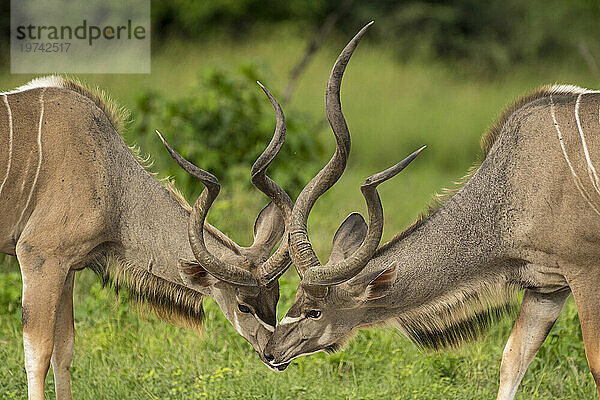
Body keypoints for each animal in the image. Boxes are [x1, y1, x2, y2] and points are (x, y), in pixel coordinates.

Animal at [0, 76, 292, 400]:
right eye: (243, 306)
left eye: (276, 297)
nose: (276, 357)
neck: (111, 178)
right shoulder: (39, 256)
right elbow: (38, 355)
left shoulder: (65, 268)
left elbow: (63, 352)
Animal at [268, 22, 600, 400]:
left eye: (314, 311)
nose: (271, 351)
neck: (510, 190)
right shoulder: (547, 288)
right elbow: (512, 360)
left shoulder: (584, 271)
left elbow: (594, 364)